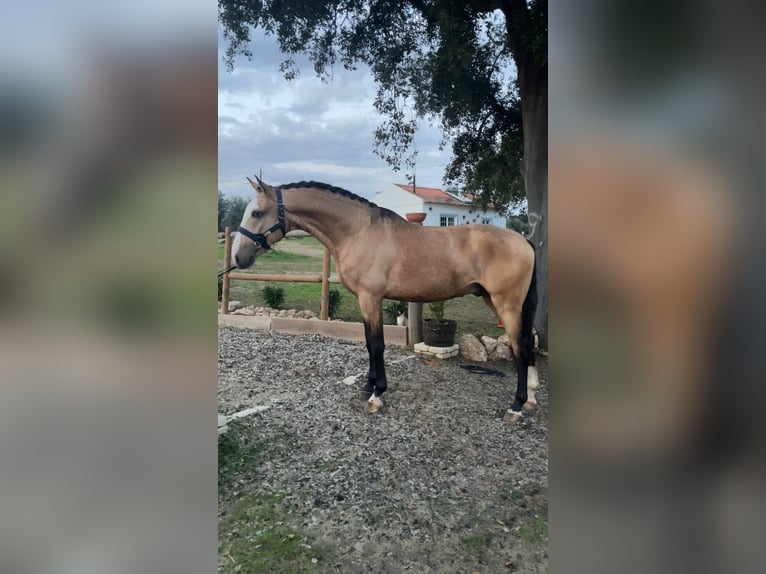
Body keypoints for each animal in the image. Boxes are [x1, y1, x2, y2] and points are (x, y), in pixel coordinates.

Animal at [232, 176, 540, 424]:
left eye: (257, 212)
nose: (238, 257)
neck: (358, 231)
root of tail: (523, 241)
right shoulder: (365, 300)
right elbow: (370, 343)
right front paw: (369, 387)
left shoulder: (371, 298)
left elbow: (377, 344)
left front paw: (377, 395)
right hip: (494, 300)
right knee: (527, 343)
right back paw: (531, 399)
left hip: (506, 304)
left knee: (521, 347)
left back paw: (516, 407)